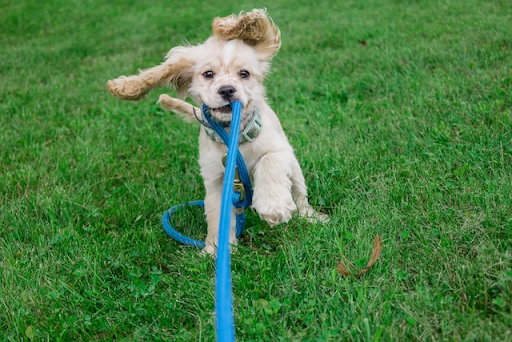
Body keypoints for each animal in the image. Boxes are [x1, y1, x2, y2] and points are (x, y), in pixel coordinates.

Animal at [107, 9, 328, 255]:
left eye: (244, 73)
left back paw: (311, 217)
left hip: (296, 173)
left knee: (300, 198)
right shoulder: (215, 179)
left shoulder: (280, 149)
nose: (227, 90)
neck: (232, 135)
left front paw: (273, 205)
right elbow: (216, 215)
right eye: (208, 74)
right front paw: (214, 250)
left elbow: (269, 162)